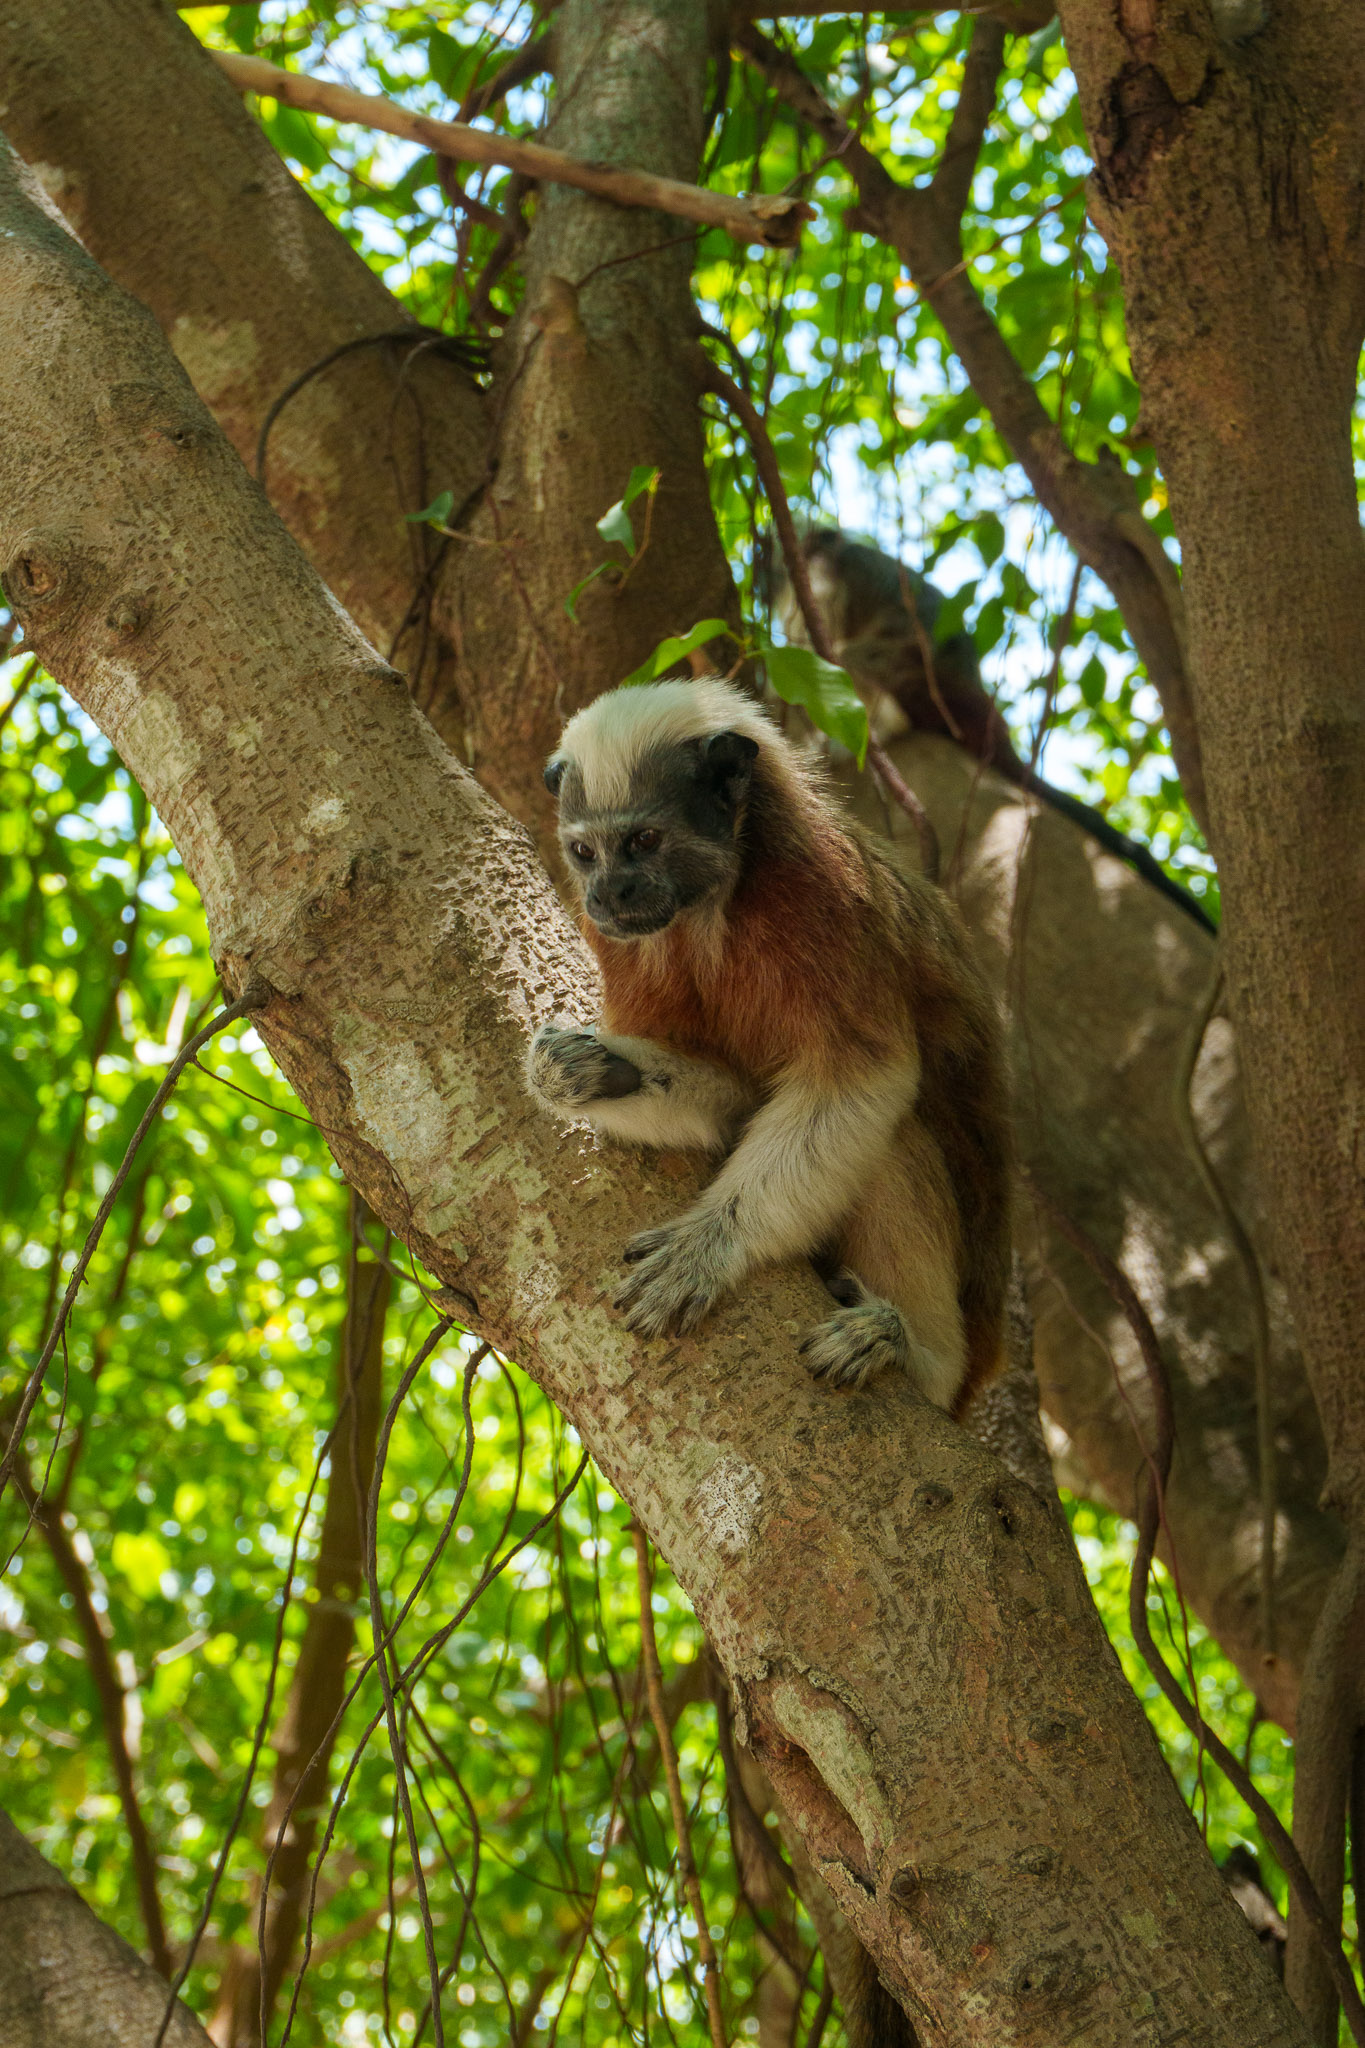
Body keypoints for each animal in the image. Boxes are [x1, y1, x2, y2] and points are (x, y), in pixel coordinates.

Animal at [526, 676, 1011, 1416]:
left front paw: (709, 1247)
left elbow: (860, 1082)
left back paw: (911, 1350)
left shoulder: (828, 905)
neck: (712, 909)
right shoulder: (626, 946)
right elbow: (735, 1100)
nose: (608, 892)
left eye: (643, 840)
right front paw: (586, 1072)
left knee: (893, 1139)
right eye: (584, 853)